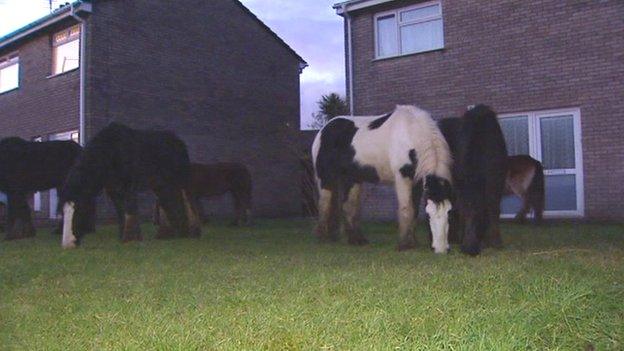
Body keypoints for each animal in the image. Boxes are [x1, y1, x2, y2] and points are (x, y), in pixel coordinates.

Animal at [58, 122, 200, 249]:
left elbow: (130, 210)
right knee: (169, 202)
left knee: (187, 201)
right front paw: (123, 236)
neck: (109, 153)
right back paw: (170, 233)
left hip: (181, 181)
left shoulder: (128, 187)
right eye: (63, 212)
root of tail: (180, 143)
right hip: (161, 184)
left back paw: (191, 232)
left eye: (79, 210)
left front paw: (131, 239)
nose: (68, 244)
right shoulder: (114, 190)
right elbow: (121, 212)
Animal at [312, 104, 454, 253]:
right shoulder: (403, 177)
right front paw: (404, 244)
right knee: (324, 204)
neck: (412, 133)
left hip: (352, 178)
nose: (441, 249)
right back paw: (323, 238)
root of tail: (323, 130)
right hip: (326, 177)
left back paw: (356, 240)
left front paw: (412, 243)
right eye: (428, 215)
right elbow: (406, 209)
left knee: (348, 206)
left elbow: (414, 211)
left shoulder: (418, 181)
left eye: (449, 212)